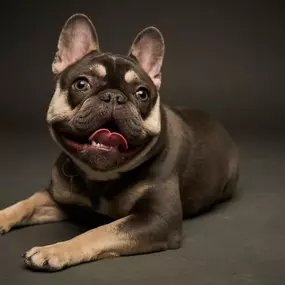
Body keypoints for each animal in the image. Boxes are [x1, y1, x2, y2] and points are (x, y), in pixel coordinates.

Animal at [0, 13, 239, 270]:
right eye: (81, 84)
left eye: (142, 93)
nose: (114, 96)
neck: (100, 177)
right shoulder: (59, 198)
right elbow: (26, 204)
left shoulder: (157, 219)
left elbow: (99, 231)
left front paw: (54, 250)